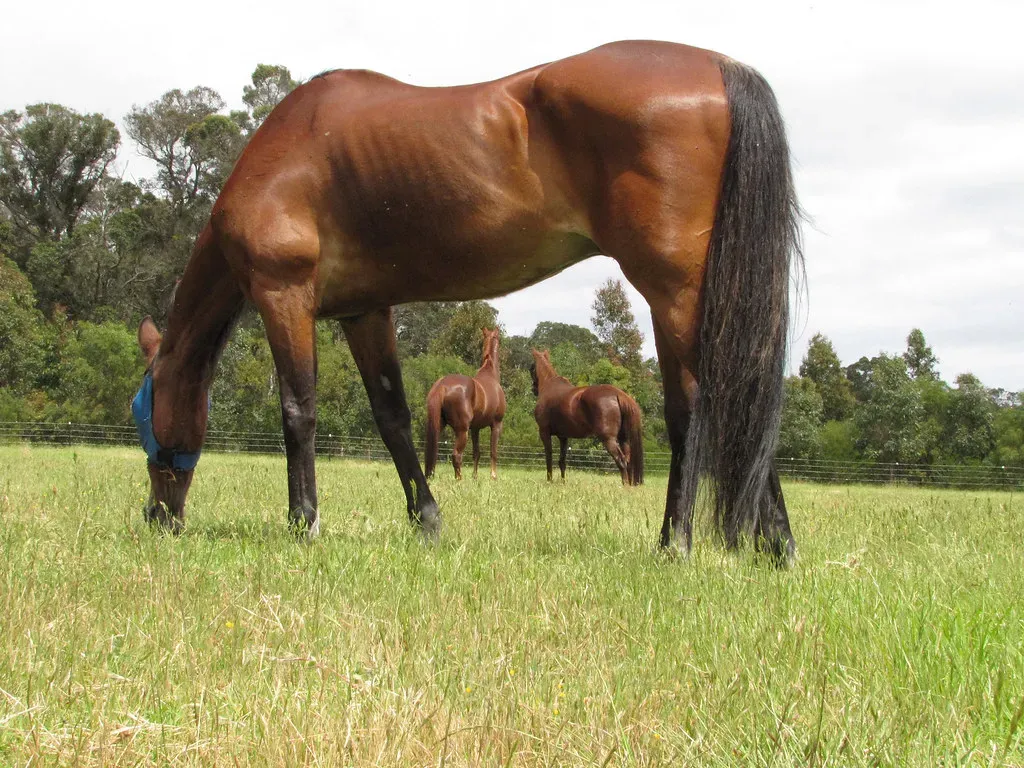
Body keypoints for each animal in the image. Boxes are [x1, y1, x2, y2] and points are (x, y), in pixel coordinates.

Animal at [424, 328, 507, 480]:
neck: (490, 374)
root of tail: (442, 385)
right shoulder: (496, 425)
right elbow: (493, 452)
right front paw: (493, 476)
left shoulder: (475, 428)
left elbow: (476, 453)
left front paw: (474, 477)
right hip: (462, 430)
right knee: (456, 455)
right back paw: (459, 480)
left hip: (438, 425)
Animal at [530, 349, 644, 486]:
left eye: (531, 368)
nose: (533, 389)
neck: (549, 385)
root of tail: (618, 394)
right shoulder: (563, 437)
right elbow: (562, 461)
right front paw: (563, 483)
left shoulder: (544, 432)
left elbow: (549, 458)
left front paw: (549, 481)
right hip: (624, 438)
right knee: (627, 460)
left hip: (608, 439)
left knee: (621, 461)